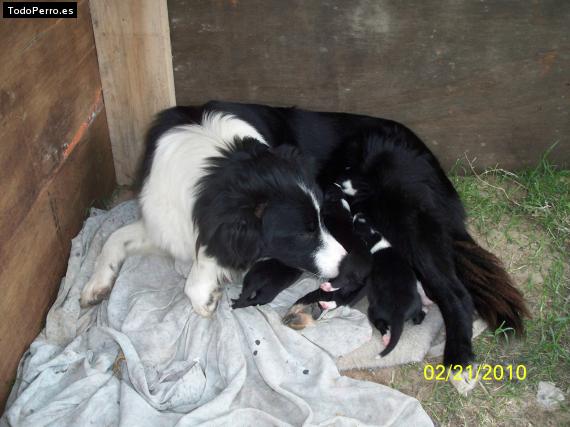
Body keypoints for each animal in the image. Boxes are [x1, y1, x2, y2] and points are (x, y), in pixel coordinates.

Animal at [77, 101, 524, 368]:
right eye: (304, 231)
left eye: (320, 221)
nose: (348, 264)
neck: (216, 165)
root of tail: (430, 156)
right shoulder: (165, 220)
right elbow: (112, 238)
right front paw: (95, 286)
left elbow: (201, 270)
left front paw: (207, 295)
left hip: (407, 219)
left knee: (456, 292)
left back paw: (457, 360)